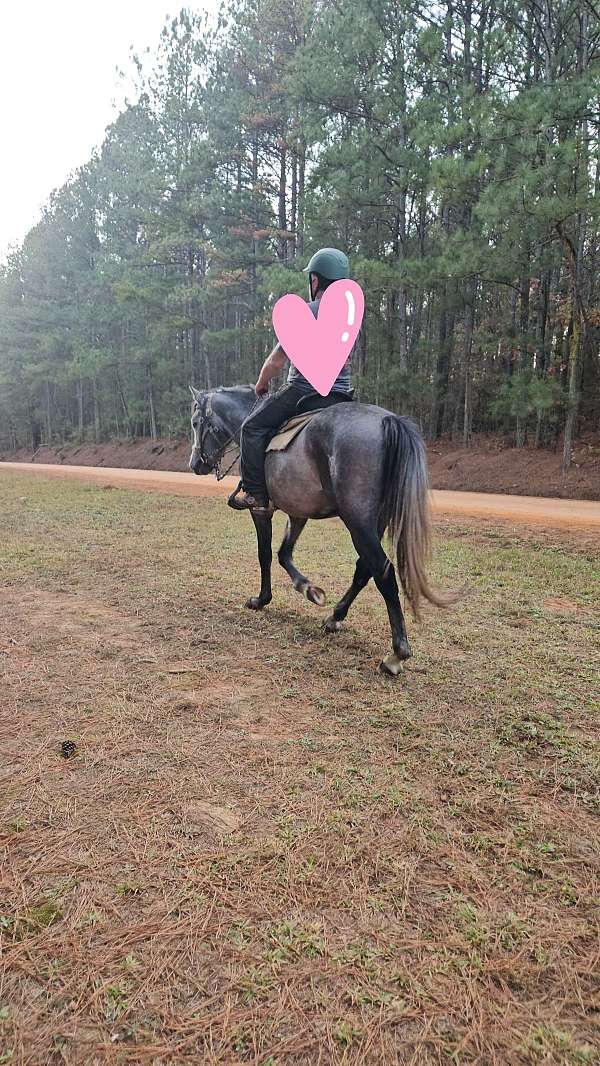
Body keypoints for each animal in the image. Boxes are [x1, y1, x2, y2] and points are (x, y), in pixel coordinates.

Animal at [188, 385, 451, 673]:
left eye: (195, 423)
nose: (195, 464)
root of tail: (387, 421)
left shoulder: (260, 510)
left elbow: (265, 555)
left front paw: (261, 599)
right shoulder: (298, 513)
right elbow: (284, 554)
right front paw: (309, 589)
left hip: (358, 522)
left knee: (383, 572)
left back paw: (396, 654)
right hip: (376, 521)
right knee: (364, 569)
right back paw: (335, 617)